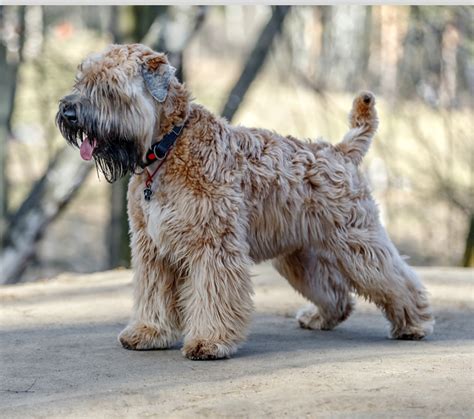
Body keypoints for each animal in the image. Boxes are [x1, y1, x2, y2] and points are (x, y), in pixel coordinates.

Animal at [55, 43, 434, 360]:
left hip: (358, 244)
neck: (168, 148)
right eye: (82, 79)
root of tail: (341, 151)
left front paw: (210, 342)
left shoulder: (213, 245)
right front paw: (149, 332)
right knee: (336, 294)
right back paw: (319, 317)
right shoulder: (152, 249)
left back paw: (415, 324)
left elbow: (213, 295)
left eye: (108, 87)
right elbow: (153, 294)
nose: (69, 113)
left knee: (397, 280)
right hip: (300, 257)